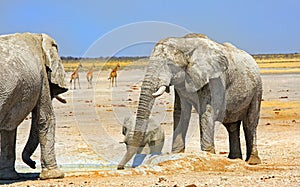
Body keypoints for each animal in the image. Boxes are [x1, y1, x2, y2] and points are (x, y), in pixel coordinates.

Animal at [0, 32, 67, 180]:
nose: (33, 164)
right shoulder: (42, 77)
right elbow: (46, 119)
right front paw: (55, 175)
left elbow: (9, 127)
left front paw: (8, 177)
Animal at [118, 32, 262, 169]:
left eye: (170, 64)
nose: (122, 167)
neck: (184, 42)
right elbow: (181, 112)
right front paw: (176, 154)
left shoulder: (215, 78)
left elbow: (207, 111)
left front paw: (208, 155)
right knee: (232, 126)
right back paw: (234, 159)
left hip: (257, 89)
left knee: (250, 123)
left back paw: (253, 161)